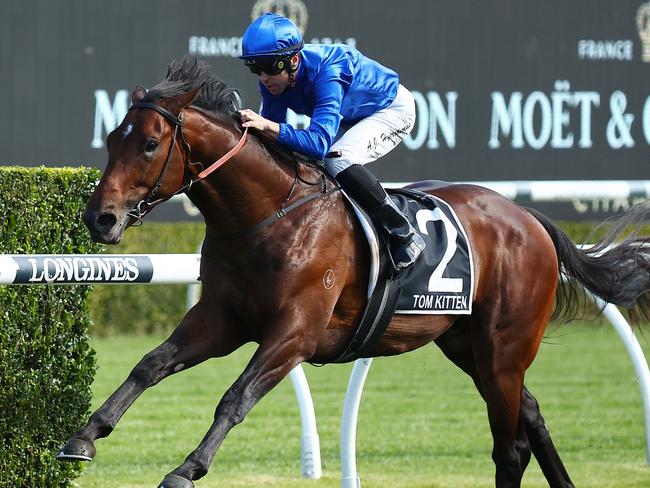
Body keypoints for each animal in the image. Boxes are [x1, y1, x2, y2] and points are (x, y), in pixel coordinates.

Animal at [58, 55, 648, 486]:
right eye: (110, 139)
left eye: (149, 144)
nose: (99, 217)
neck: (265, 215)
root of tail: (528, 218)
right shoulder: (221, 319)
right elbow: (150, 365)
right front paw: (85, 435)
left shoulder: (295, 333)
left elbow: (235, 396)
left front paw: (187, 467)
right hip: (469, 346)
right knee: (532, 417)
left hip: (504, 347)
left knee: (511, 446)